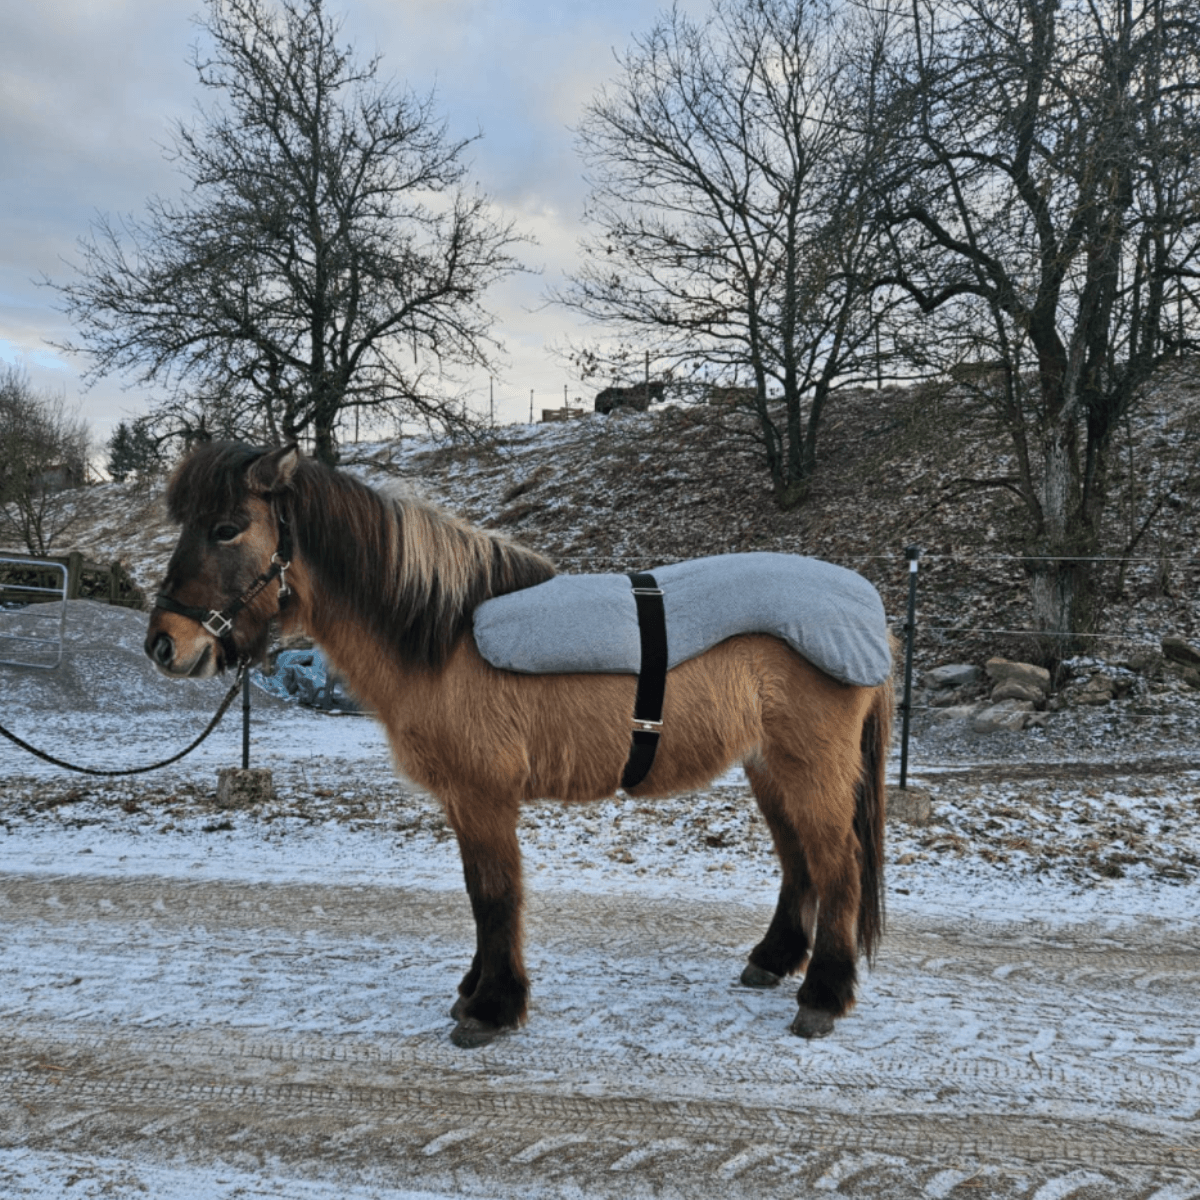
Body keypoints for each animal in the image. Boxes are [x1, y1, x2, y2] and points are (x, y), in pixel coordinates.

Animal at [145, 444, 892, 1051]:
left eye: (226, 528)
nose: (164, 645)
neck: (444, 636)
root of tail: (871, 609)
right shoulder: (462, 798)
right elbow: (481, 891)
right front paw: (475, 990)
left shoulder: (483, 794)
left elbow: (495, 894)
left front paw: (492, 1007)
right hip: (771, 766)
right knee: (799, 861)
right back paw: (773, 959)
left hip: (811, 767)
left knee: (837, 866)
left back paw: (823, 995)